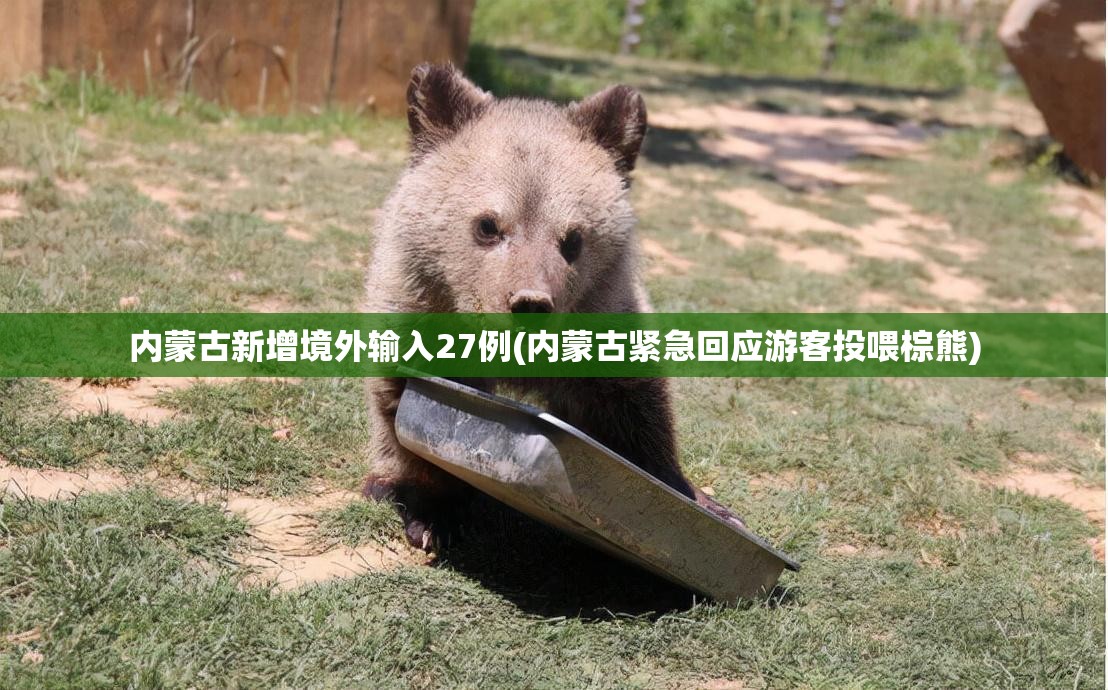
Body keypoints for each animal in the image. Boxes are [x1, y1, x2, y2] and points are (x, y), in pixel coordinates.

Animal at [363, 63, 743, 550]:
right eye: (488, 225)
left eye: (573, 238)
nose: (530, 303)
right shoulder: (422, 303)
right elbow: (413, 412)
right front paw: (431, 515)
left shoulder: (600, 314)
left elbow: (632, 410)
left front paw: (700, 501)